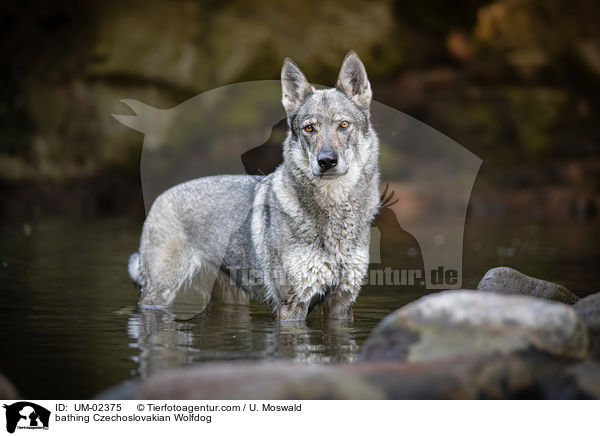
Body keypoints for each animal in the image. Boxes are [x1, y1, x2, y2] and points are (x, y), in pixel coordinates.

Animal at [127, 52, 380, 322]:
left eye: (343, 125)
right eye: (309, 128)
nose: (327, 161)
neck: (335, 211)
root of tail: (162, 196)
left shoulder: (342, 304)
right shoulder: (292, 307)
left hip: (232, 299)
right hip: (160, 296)